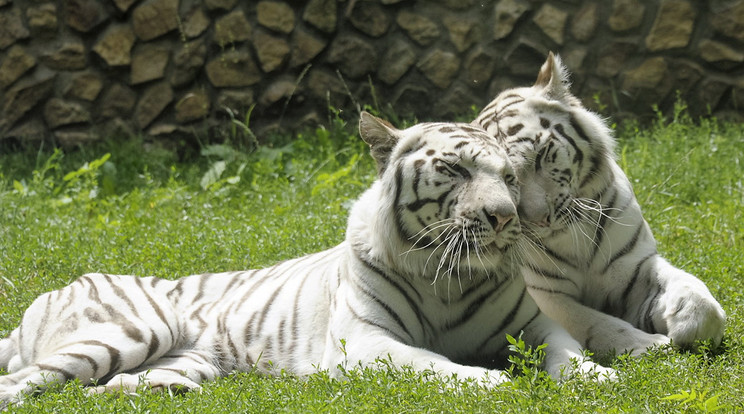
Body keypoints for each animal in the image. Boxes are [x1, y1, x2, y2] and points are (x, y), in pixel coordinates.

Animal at [0, 113, 612, 408]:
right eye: (455, 169)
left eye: (508, 177)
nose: (505, 216)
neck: (449, 276)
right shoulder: (364, 342)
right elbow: (436, 364)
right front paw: (495, 385)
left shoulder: (533, 326)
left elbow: (569, 350)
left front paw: (599, 378)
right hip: (134, 328)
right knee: (25, 381)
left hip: (185, 359)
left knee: (101, 388)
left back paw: (149, 391)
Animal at [470, 51, 728, 356]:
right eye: (504, 180)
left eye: (541, 154)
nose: (541, 219)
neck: (573, 239)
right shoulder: (545, 295)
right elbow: (593, 320)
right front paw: (647, 344)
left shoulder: (634, 266)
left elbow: (690, 287)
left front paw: (693, 321)